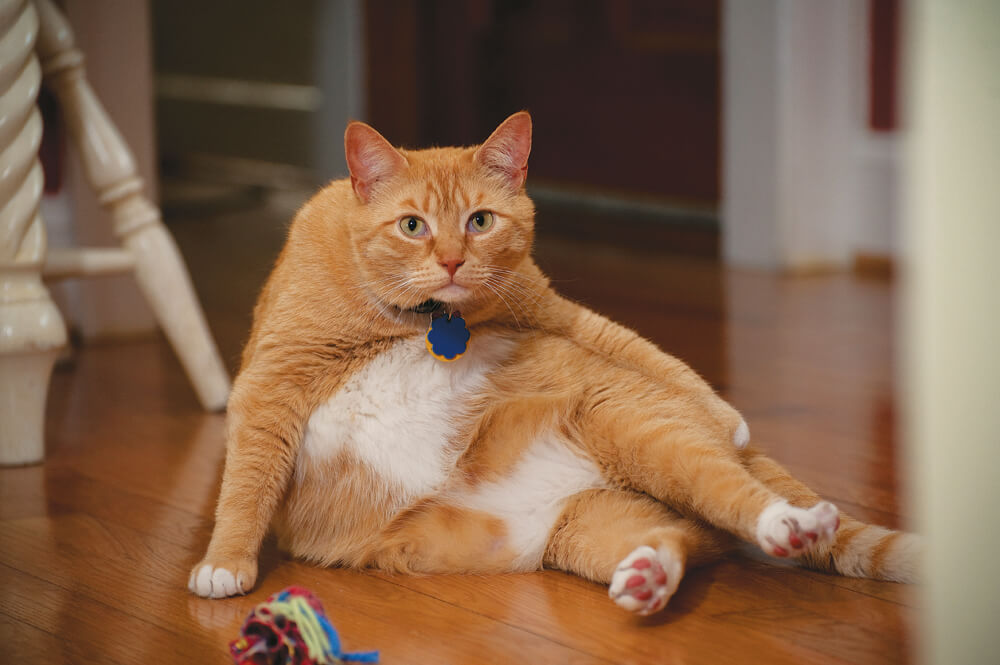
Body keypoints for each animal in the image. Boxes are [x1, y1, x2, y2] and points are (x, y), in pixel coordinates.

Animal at [188, 113, 916, 612]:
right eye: (413, 225)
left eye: (480, 221)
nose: (451, 261)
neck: (419, 318)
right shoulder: (271, 381)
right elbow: (245, 482)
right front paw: (227, 561)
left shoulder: (543, 304)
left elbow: (632, 341)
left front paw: (727, 413)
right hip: (592, 528)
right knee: (676, 536)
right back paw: (651, 577)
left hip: (643, 434)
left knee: (735, 490)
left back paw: (785, 517)